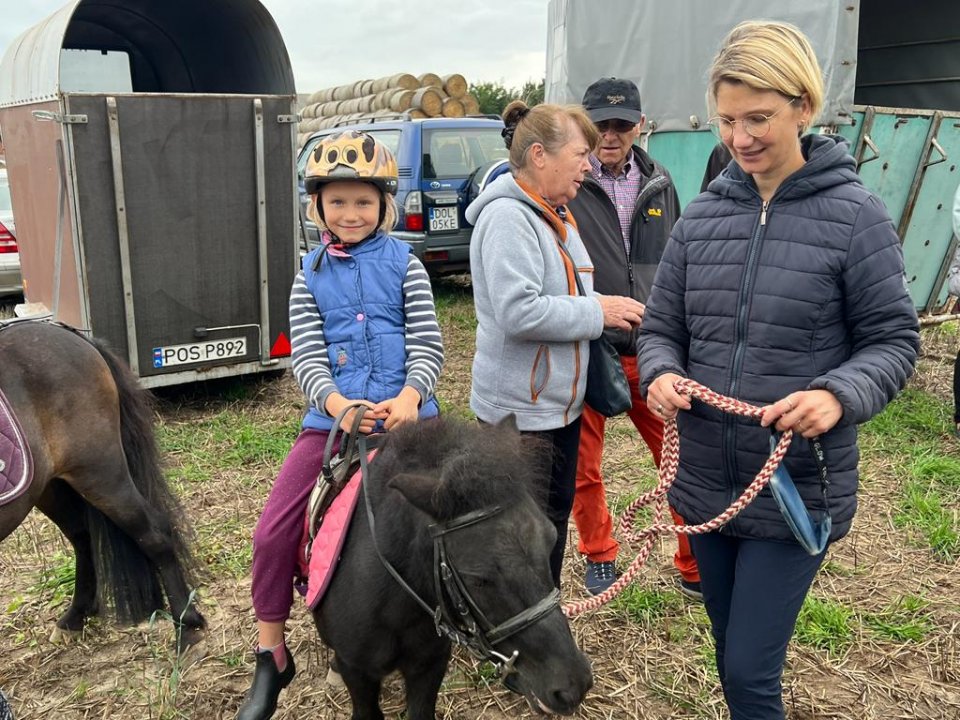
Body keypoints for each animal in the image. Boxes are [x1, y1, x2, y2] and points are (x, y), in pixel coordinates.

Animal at [0, 320, 204, 652]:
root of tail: (72, 334)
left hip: (101, 472)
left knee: (154, 533)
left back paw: (186, 626)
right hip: (52, 486)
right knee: (82, 537)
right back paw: (74, 617)